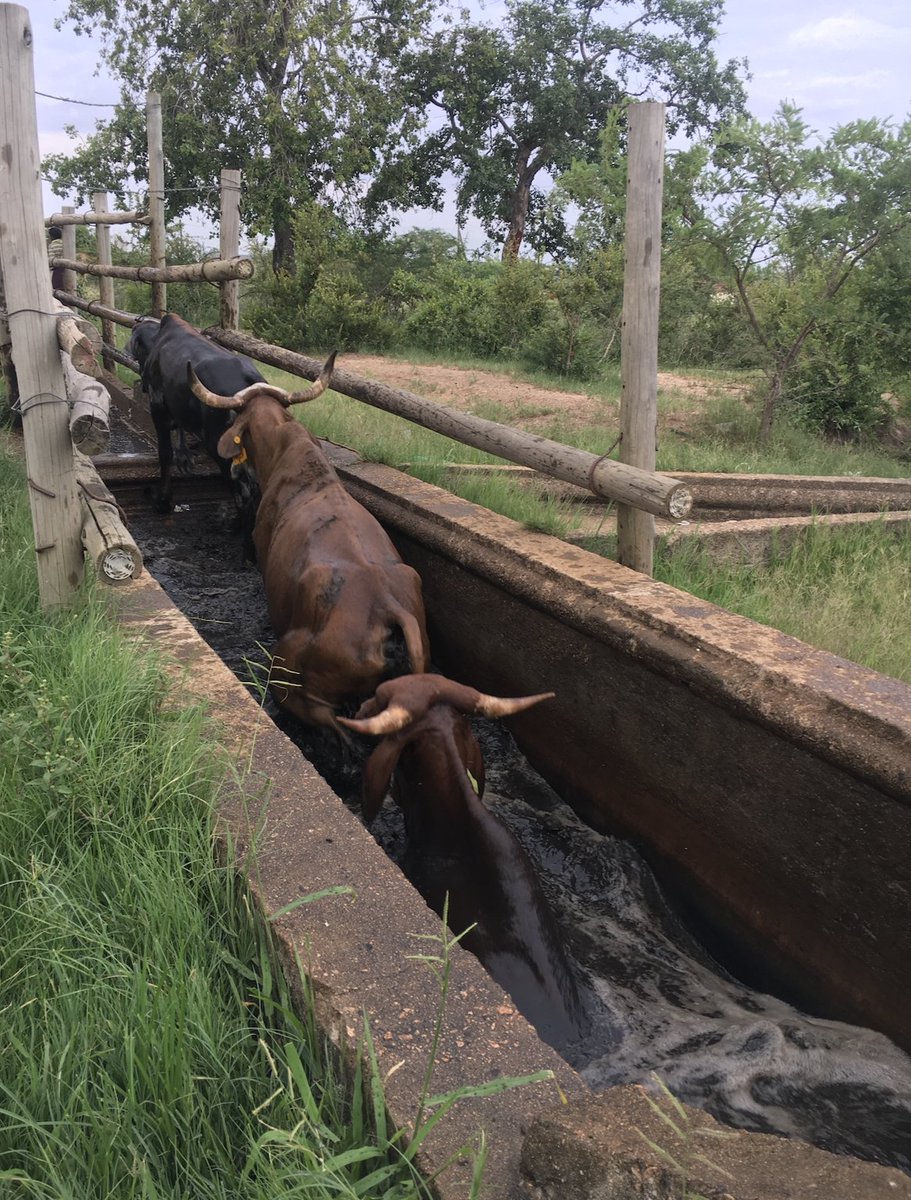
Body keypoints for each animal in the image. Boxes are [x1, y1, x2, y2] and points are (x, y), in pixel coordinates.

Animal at [126, 313, 265, 516]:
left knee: (244, 495)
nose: (143, 384)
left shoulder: (158, 406)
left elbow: (165, 453)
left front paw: (163, 502)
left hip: (223, 452)